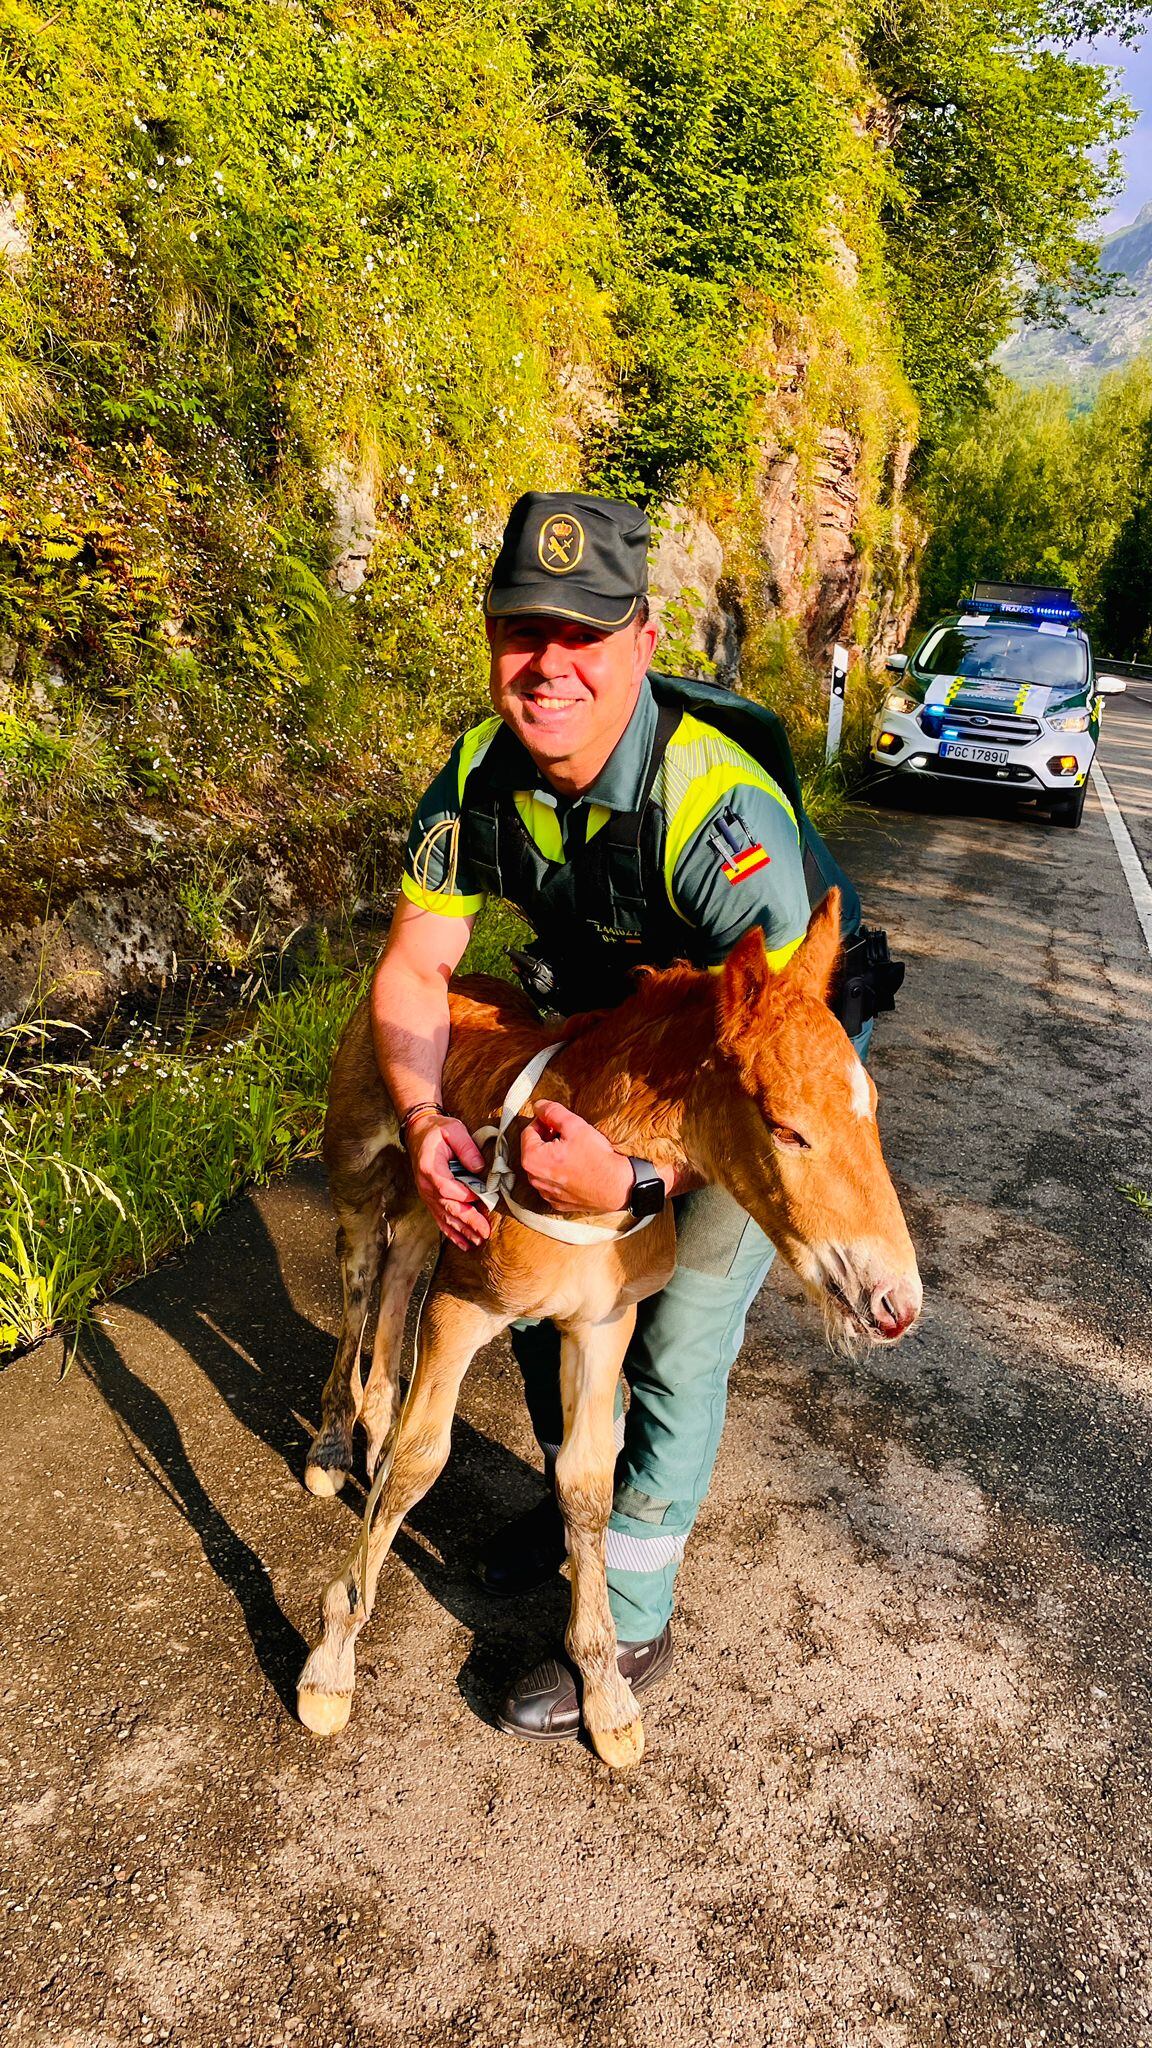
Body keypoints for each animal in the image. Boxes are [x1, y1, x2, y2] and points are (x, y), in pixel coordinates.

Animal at [297, 888, 922, 1769]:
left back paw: (373, 1436)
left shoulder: (602, 1324)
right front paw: (331, 1661)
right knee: (359, 1287)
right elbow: (425, 1461)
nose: (895, 1301)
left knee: (396, 1291)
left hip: (428, 1209)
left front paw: (603, 1688)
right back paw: (331, 1447)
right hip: (357, 1179)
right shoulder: (462, 1308)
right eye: (787, 1128)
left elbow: (589, 1483)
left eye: (871, 1109)